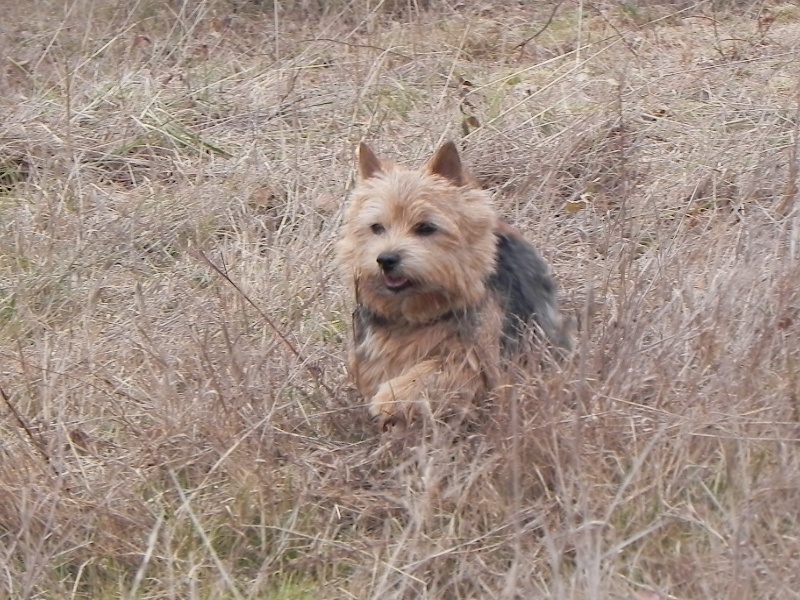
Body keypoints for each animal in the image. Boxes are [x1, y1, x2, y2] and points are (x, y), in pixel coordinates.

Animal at [338, 141, 568, 432]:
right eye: (376, 227)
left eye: (426, 227)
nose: (386, 259)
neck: (417, 312)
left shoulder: (472, 356)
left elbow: (434, 373)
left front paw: (390, 399)